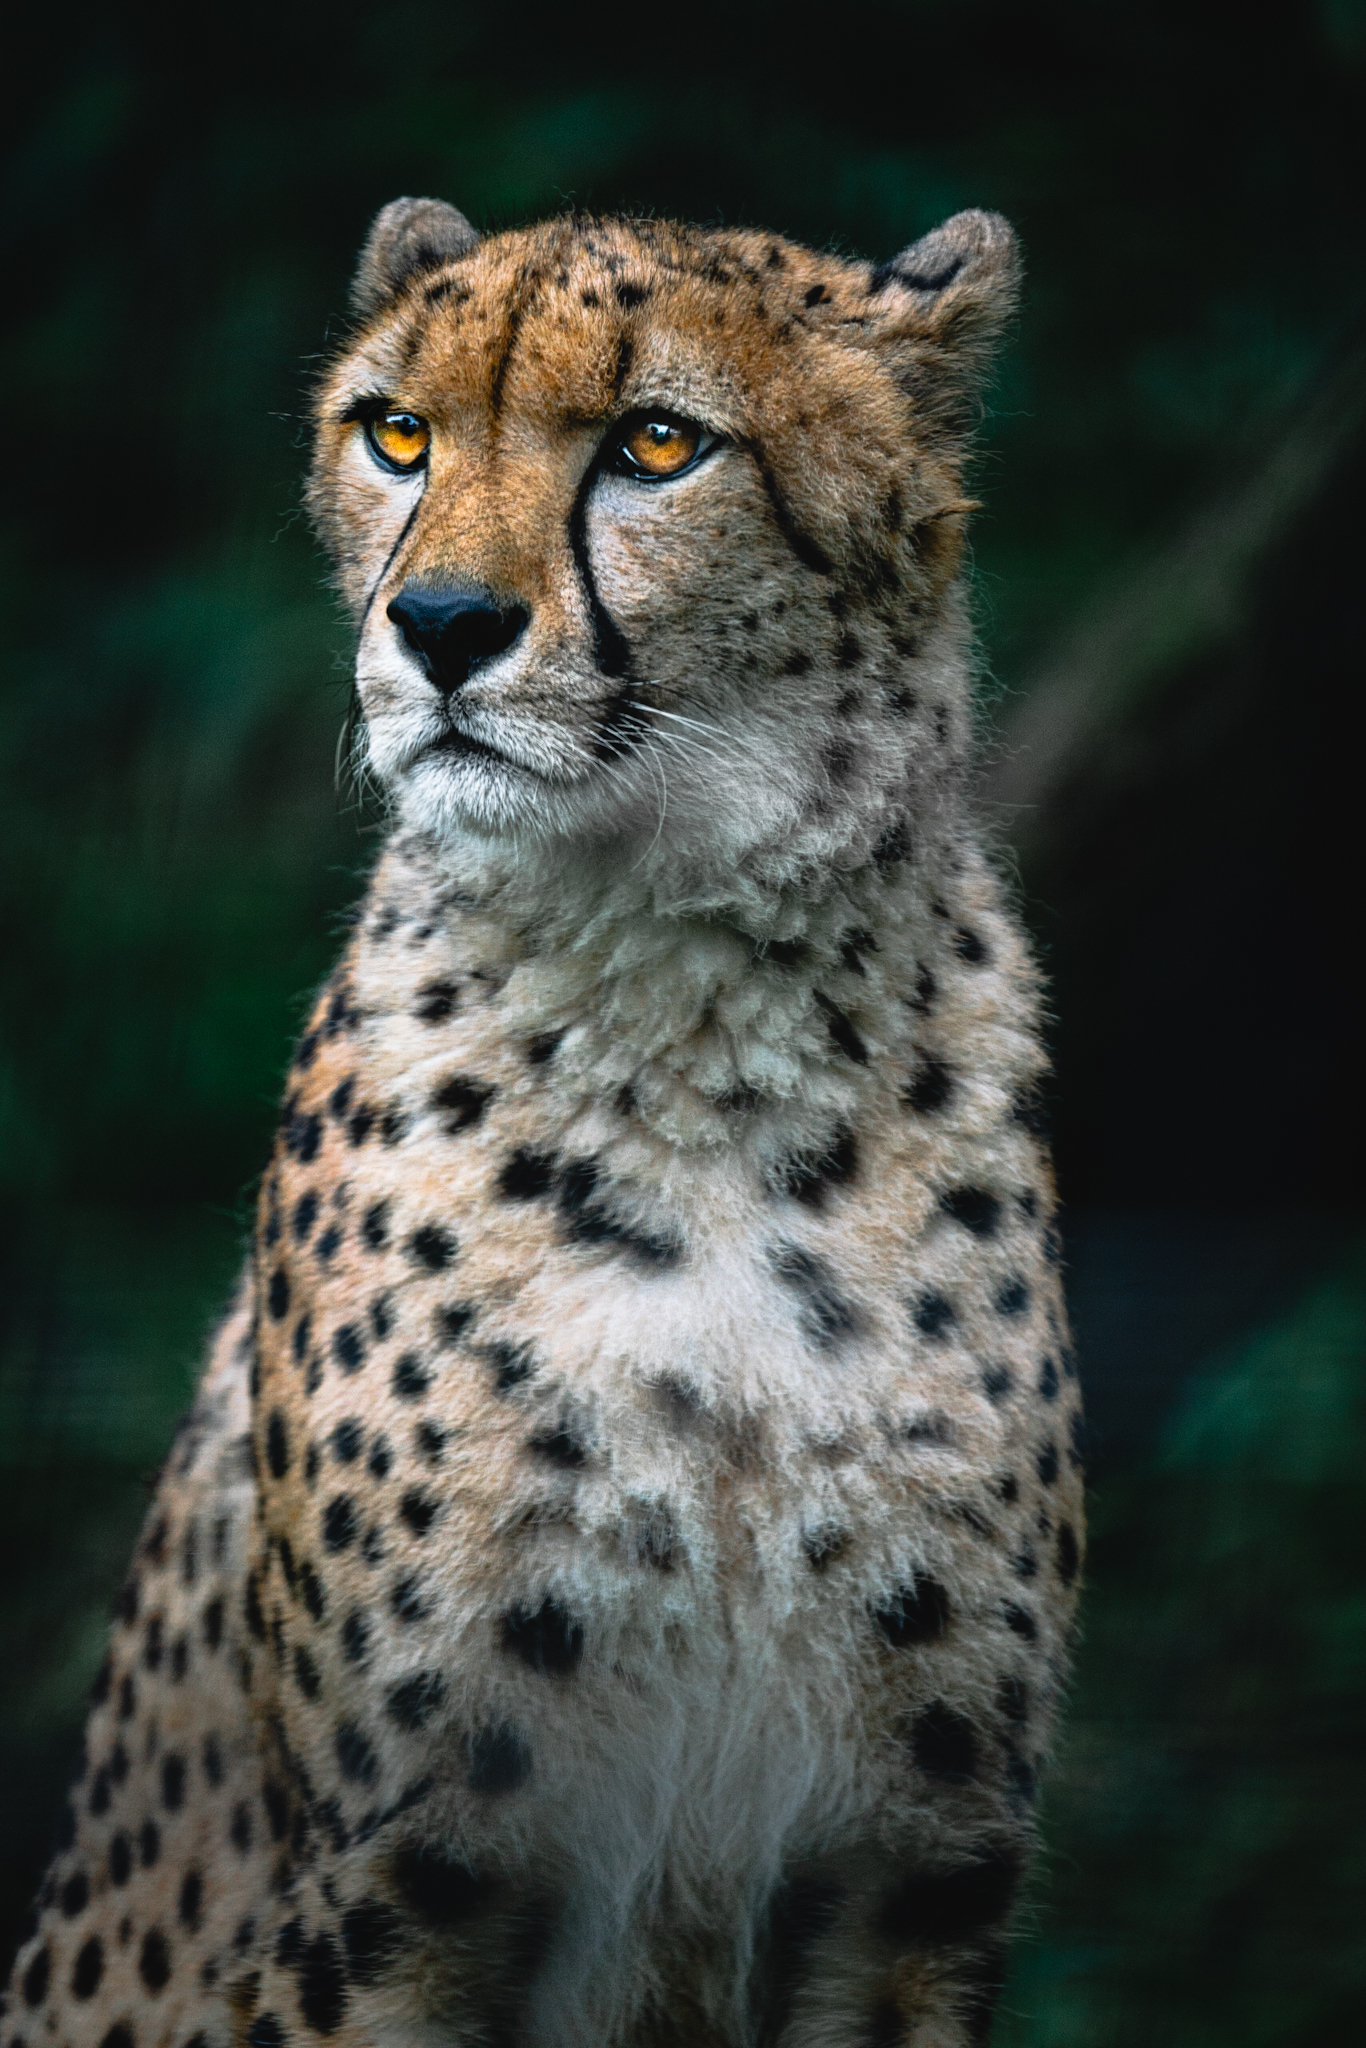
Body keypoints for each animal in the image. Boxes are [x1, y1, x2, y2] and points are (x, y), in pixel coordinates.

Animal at [3, 195, 1084, 2048]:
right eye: (397, 433)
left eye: (655, 443)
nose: (438, 624)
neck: (701, 1029)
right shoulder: (400, 1879)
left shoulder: (909, 1875)